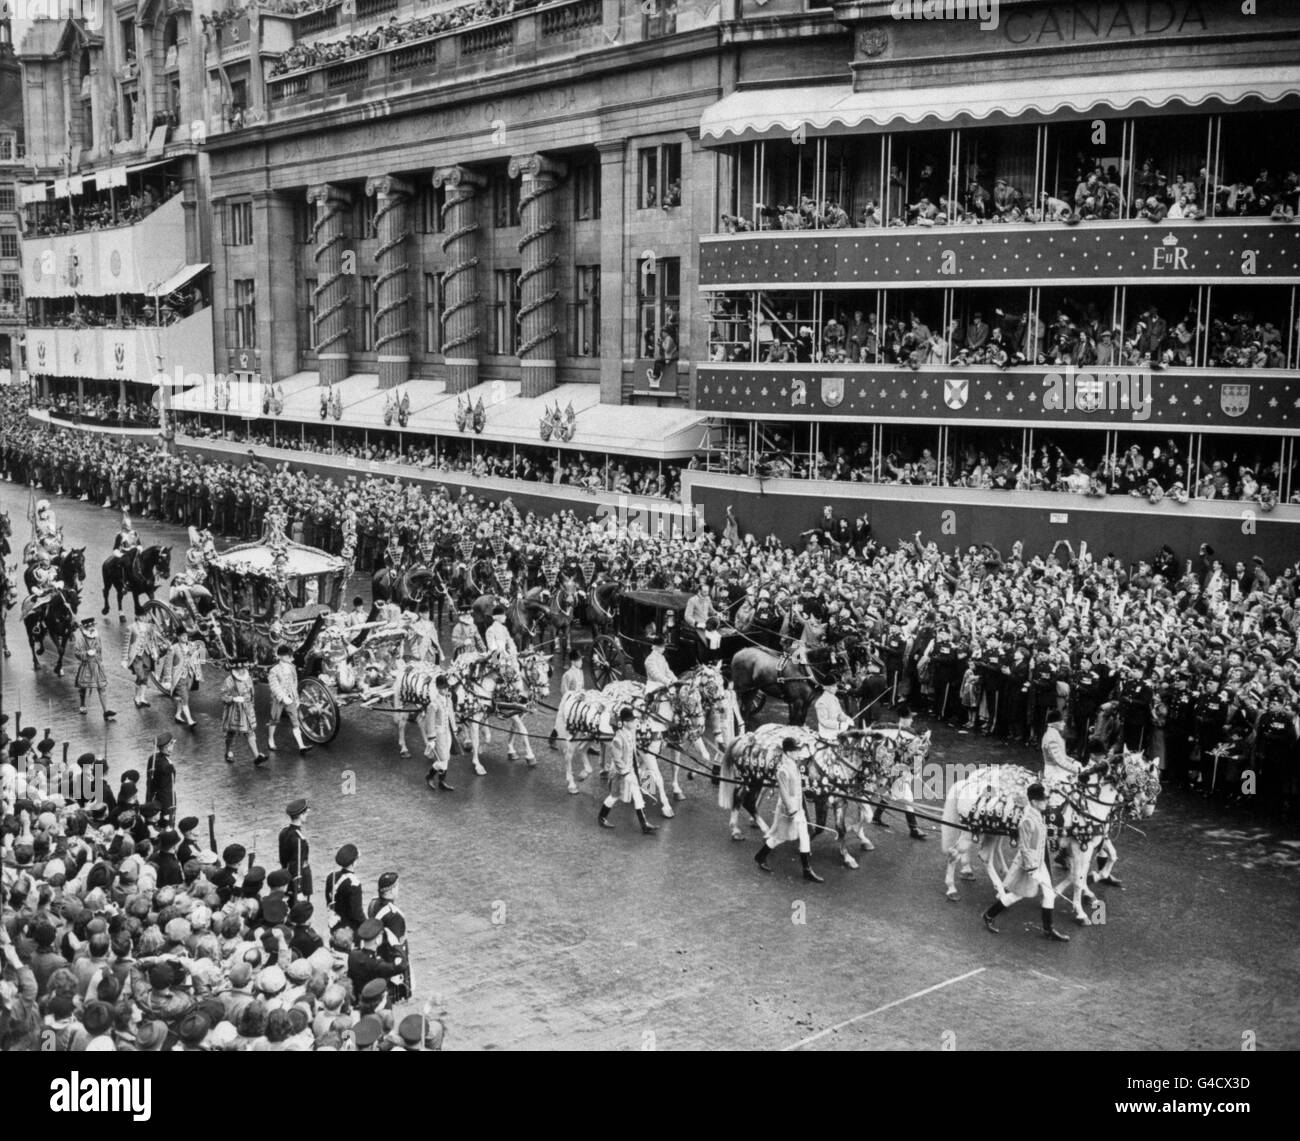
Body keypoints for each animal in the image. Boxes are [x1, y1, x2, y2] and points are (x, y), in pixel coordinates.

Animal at [941, 748, 1164, 930]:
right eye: (1148, 777)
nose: (1147, 810)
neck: (1089, 801)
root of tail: (972, 781)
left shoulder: (1086, 843)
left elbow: (1081, 871)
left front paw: (1069, 891)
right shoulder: (1082, 846)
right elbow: (1079, 877)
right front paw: (1081, 910)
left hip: (991, 830)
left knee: (986, 855)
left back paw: (1000, 889)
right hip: (972, 831)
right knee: (954, 854)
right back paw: (952, 888)